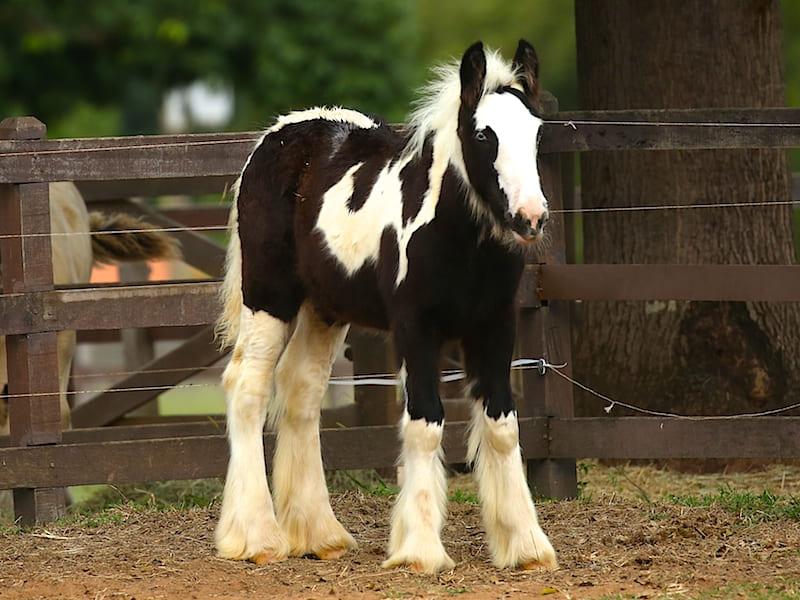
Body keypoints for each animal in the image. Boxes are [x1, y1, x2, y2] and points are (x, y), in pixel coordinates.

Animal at [214, 39, 557, 573]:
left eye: (537, 133)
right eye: (484, 135)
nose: (531, 217)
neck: (457, 240)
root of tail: (276, 136)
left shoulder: (495, 328)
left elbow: (502, 426)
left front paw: (525, 545)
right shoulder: (416, 330)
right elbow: (425, 425)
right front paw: (420, 550)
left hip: (325, 309)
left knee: (301, 389)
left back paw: (319, 534)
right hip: (269, 298)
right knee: (247, 386)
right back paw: (257, 536)